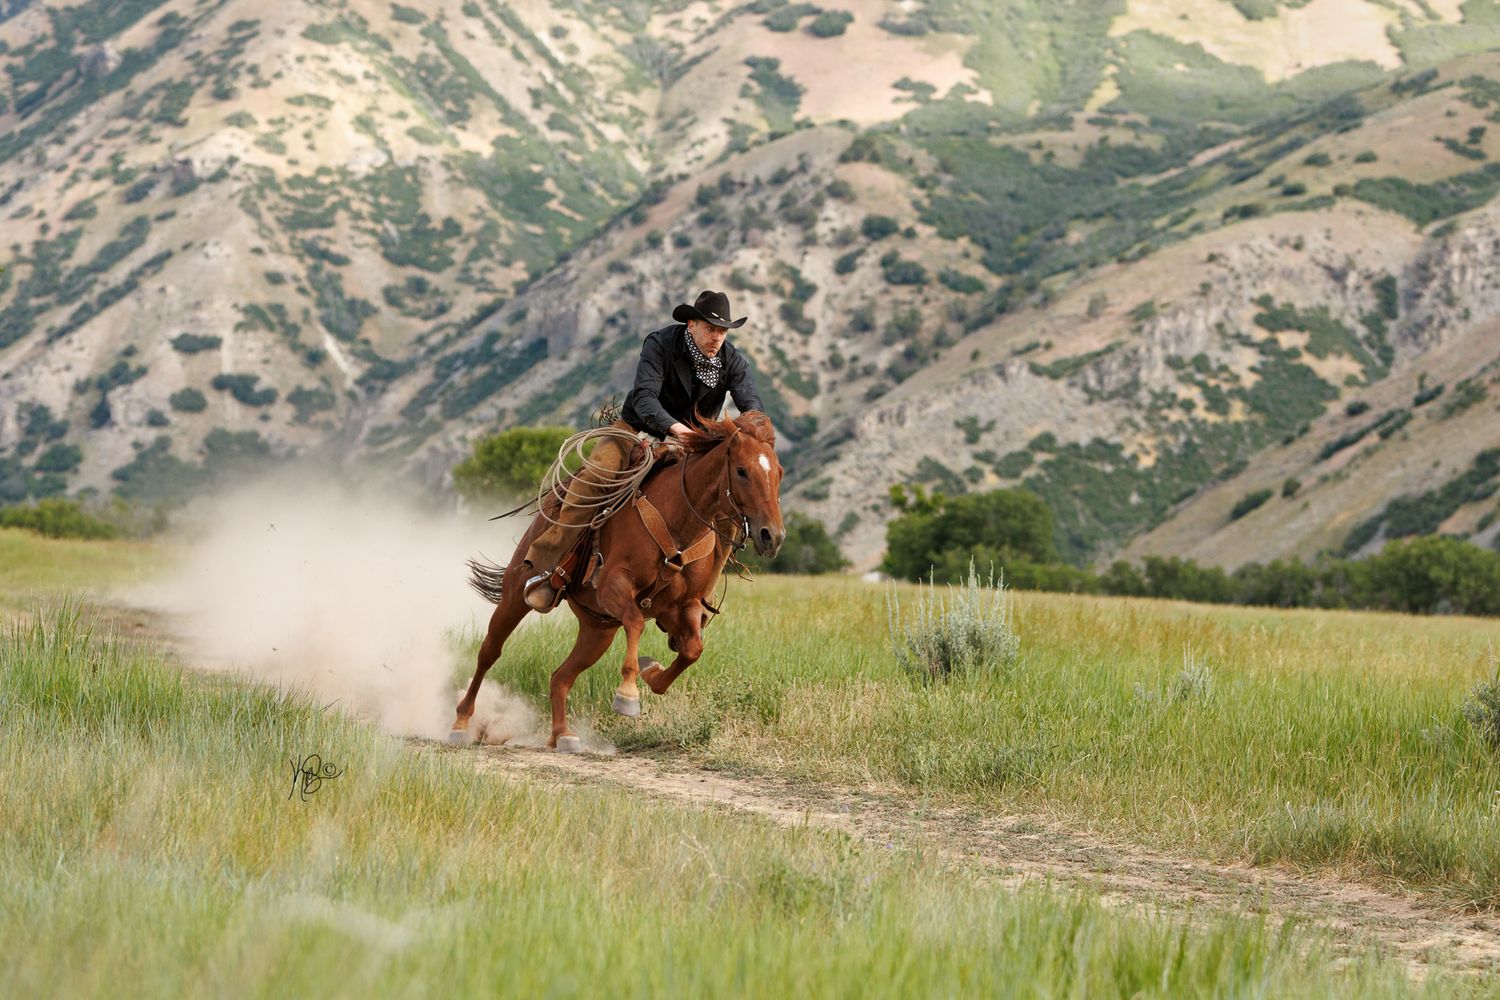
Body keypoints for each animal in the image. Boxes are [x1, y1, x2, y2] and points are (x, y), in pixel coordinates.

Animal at [450, 411, 785, 751]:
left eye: (779, 474)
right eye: (742, 471)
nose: (772, 536)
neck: (678, 520)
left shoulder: (686, 605)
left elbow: (692, 649)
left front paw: (652, 673)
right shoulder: (613, 585)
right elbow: (636, 623)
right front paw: (628, 695)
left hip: (597, 630)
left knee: (561, 676)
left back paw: (563, 735)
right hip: (515, 596)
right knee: (489, 653)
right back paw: (461, 723)